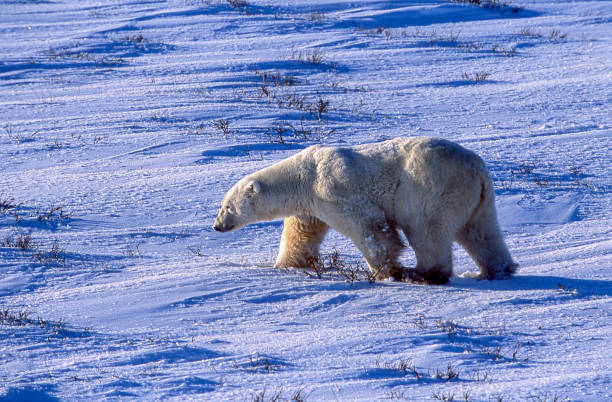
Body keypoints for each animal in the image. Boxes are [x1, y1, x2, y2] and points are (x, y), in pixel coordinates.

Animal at [213, 137, 520, 284]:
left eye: (227, 206)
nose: (217, 226)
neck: (303, 177)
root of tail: (476, 170)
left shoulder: (332, 188)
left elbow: (370, 227)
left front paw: (386, 271)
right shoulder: (309, 207)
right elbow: (300, 234)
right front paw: (285, 265)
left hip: (432, 187)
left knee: (427, 229)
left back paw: (423, 273)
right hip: (478, 198)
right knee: (481, 232)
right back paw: (497, 270)